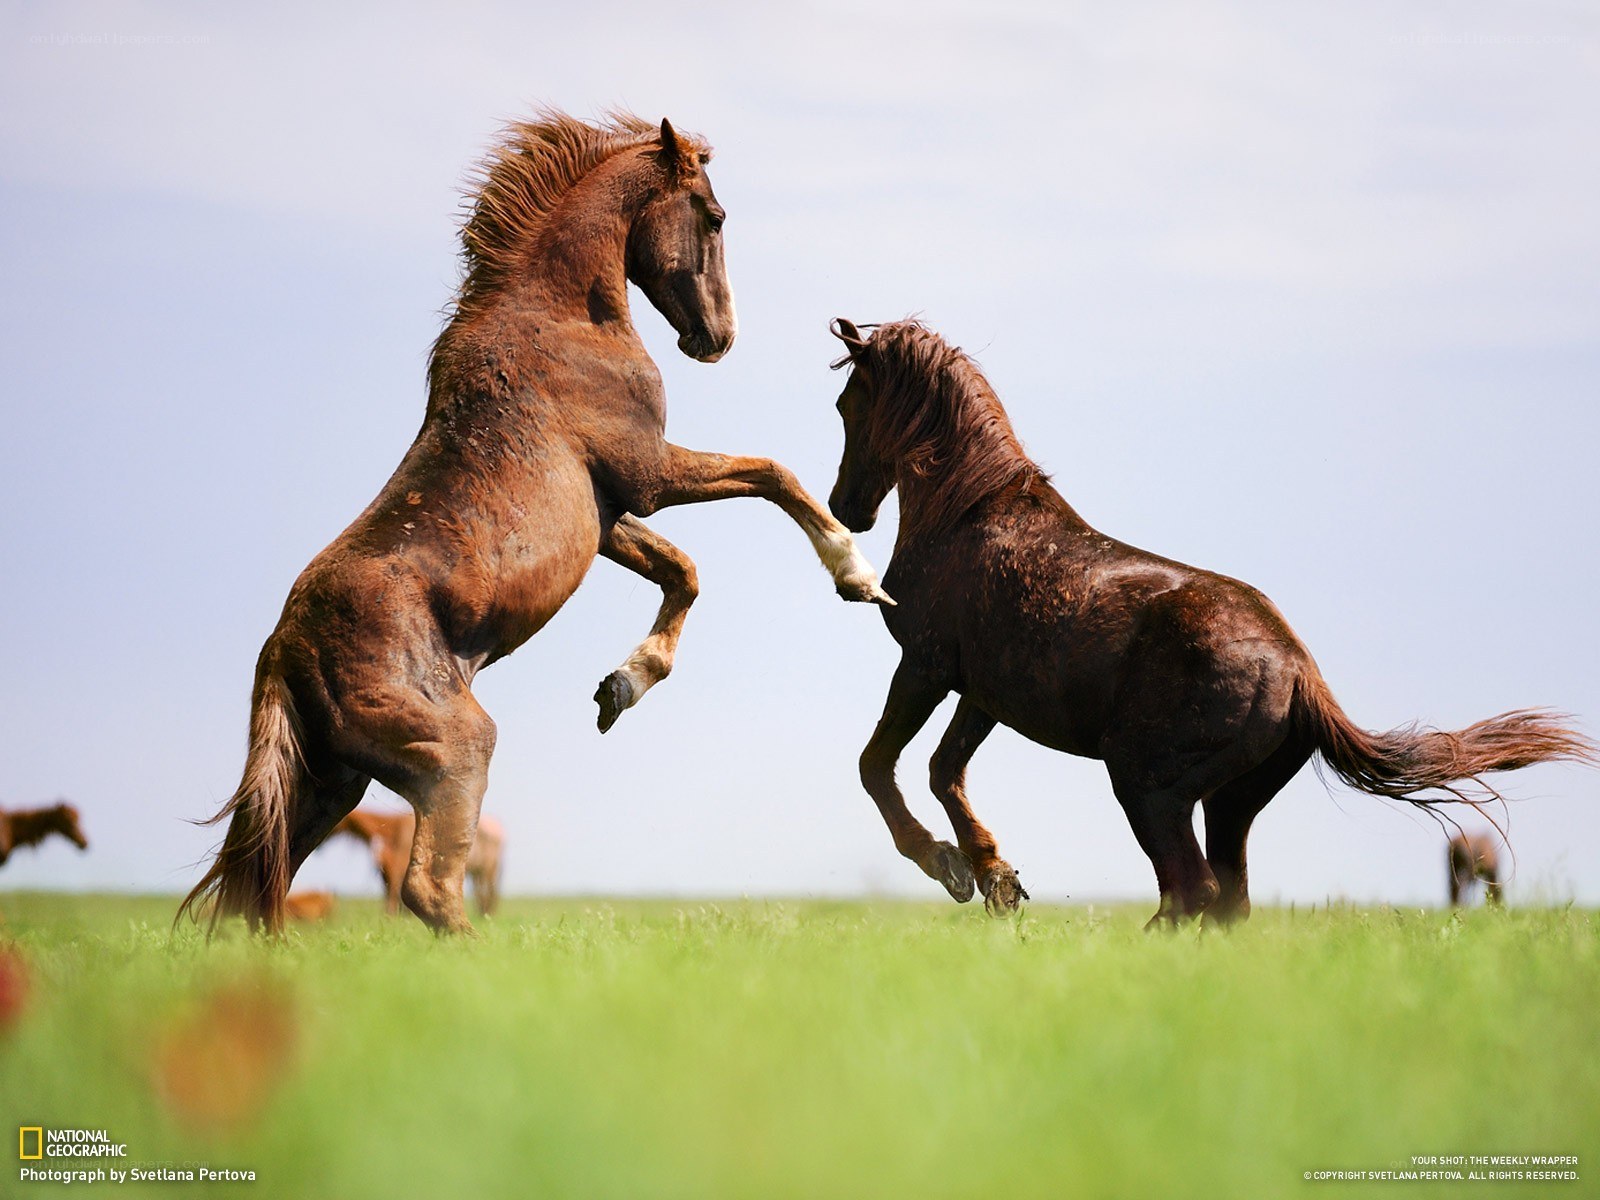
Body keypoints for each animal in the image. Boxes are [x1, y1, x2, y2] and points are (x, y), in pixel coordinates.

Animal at [331, 808, 504, 918]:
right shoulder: (385, 869)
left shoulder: (397, 866)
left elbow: (394, 892)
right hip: (478, 872)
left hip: (489, 870)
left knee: (488, 892)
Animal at [825, 317, 1595, 926]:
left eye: (845, 403)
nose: (845, 508)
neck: (968, 511)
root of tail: (1299, 674)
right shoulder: (983, 692)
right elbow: (942, 771)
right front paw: (993, 876)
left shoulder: (925, 665)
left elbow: (878, 766)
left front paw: (950, 867)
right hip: (1229, 802)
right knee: (1226, 900)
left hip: (1149, 787)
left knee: (1191, 892)